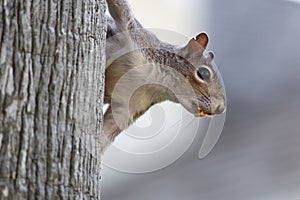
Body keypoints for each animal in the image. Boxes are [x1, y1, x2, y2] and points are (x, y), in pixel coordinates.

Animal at [101, 0, 225, 153]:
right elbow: (122, 10)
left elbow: (108, 129)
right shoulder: (135, 35)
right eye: (204, 73)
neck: (154, 81)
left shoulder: (129, 104)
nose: (221, 108)